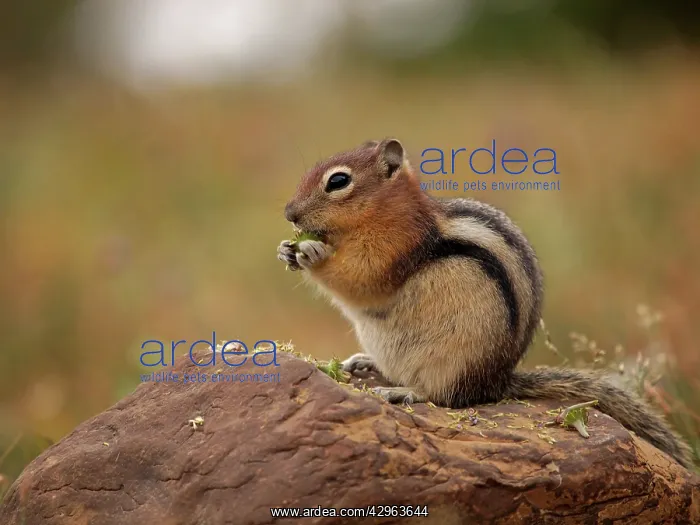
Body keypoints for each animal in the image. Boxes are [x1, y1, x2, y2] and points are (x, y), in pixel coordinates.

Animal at [276, 138, 694, 470]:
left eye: (338, 181)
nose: (289, 214)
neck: (383, 214)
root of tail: (497, 381)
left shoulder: (393, 251)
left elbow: (360, 281)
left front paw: (312, 252)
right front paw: (286, 249)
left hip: (454, 363)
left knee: (447, 398)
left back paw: (404, 392)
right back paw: (366, 363)